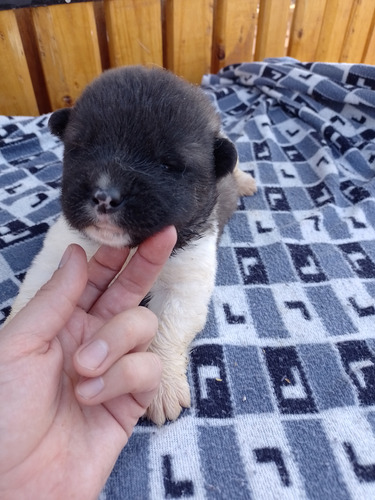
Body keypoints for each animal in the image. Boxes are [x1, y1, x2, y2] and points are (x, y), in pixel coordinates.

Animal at [8, 66, 258, 424]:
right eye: (82, 147)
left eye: (168, 165)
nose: (104, 196)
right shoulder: (58, 251)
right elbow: (33, 296)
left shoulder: (186, 282)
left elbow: (166, 328)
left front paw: (162, 383)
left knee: (235, 163)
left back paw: (246, 180)